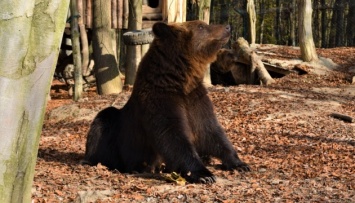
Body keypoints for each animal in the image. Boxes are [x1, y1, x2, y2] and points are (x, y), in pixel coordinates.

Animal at [83, 20, 250, 184]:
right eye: (201, 26)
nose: (227, 27)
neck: (181, 80)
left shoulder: (194, 98)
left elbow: (210, 130)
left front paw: (239, 163)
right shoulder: (160, 99)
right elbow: (171, 135)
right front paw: (204, 174)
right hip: (116, 136)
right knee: (102, 122)